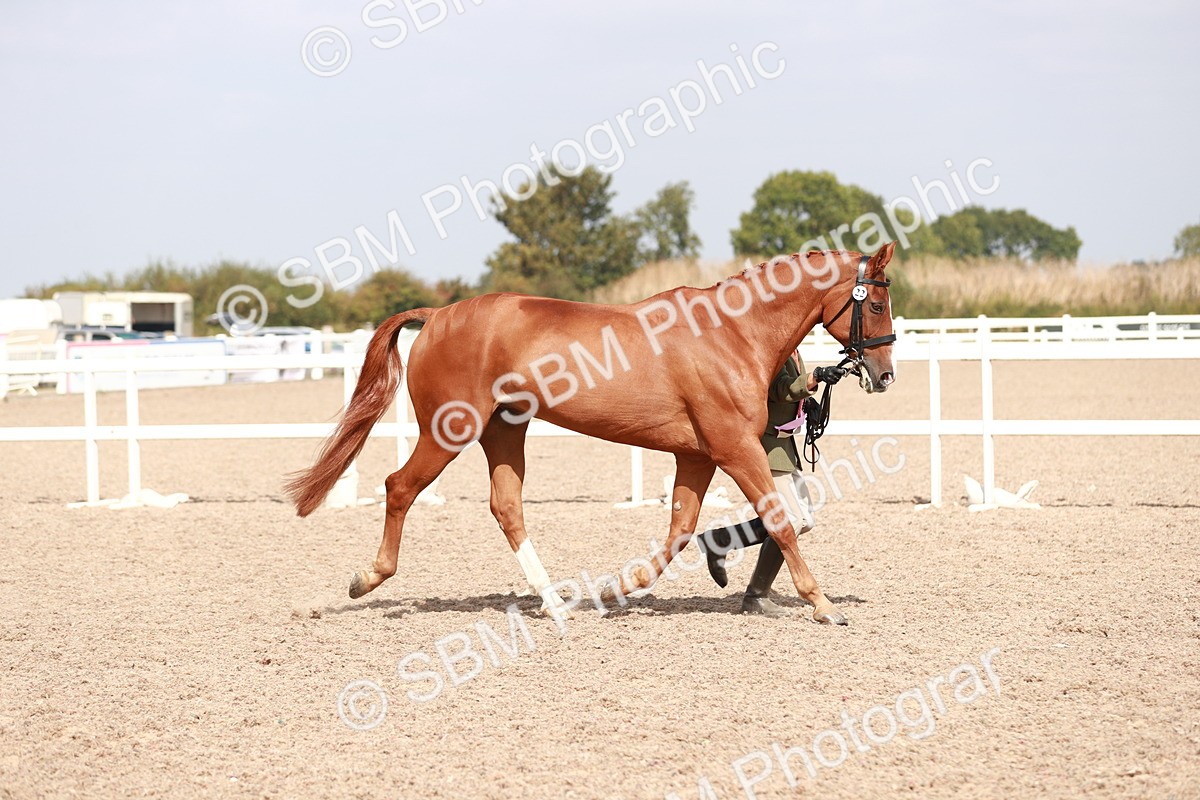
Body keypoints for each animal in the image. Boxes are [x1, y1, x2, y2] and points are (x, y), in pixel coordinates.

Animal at [286, 243, 898, 625]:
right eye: (878, 301)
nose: (884, 375)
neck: (731, 332)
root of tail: (437, 315)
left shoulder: (697, 456)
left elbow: (680, 532)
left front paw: (613, 590)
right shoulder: (735, 448)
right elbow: (782, 524)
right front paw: (824, 605)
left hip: (504, 431)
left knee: (506, 506)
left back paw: (556, 603)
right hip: (450, 431)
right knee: (400, 487)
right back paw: (367, 579)